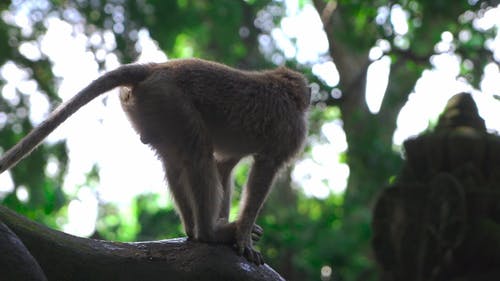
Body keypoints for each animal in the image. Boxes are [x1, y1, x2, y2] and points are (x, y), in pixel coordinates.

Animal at [0, 58, 310, 264]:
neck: (279, 84)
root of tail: (157, 67)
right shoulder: (292, 130)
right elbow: (263, 170)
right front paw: (242, 236)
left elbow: (224, 166)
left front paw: (232, 227)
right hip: (170, 100)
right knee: (198, 155)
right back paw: (208, 233)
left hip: (156, 108)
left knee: (178, 161)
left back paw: (195, 231)